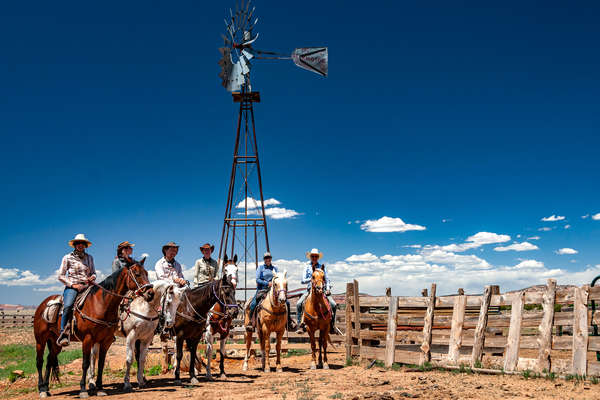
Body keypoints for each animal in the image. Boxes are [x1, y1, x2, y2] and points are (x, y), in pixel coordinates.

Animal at [32, 260, 152, 398]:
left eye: (146, 273)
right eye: (137, 274)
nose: (151, 293)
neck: (100, 304)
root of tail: (42, 306)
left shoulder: (105, 341)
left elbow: (101, 364)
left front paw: (100, 388)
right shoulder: (87, 339)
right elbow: (85, 363)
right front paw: (83, 390)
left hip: (56, 343)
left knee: (49, 360)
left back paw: (46, 389)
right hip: (40, 340)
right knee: (39, 361)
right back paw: (41, 389)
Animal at [172, 256, 238, 384]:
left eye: (237, 269)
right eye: (226, 269)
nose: (234, 312)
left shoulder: (224, 333)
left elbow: (222, 351)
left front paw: (222, 373)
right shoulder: (208, 333)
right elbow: (209, 351)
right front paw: (208, 373)